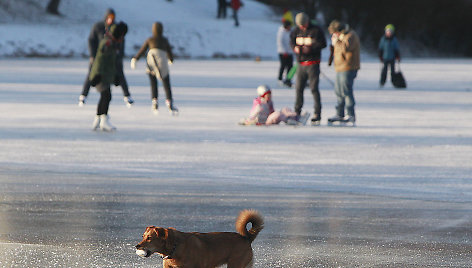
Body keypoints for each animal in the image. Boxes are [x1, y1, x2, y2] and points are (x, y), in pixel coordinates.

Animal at [135, 209, 264, 268]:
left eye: (149, 238)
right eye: (143, 236)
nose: (137, 246)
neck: (174, 248)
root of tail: (246, 237)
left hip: (236, 264)